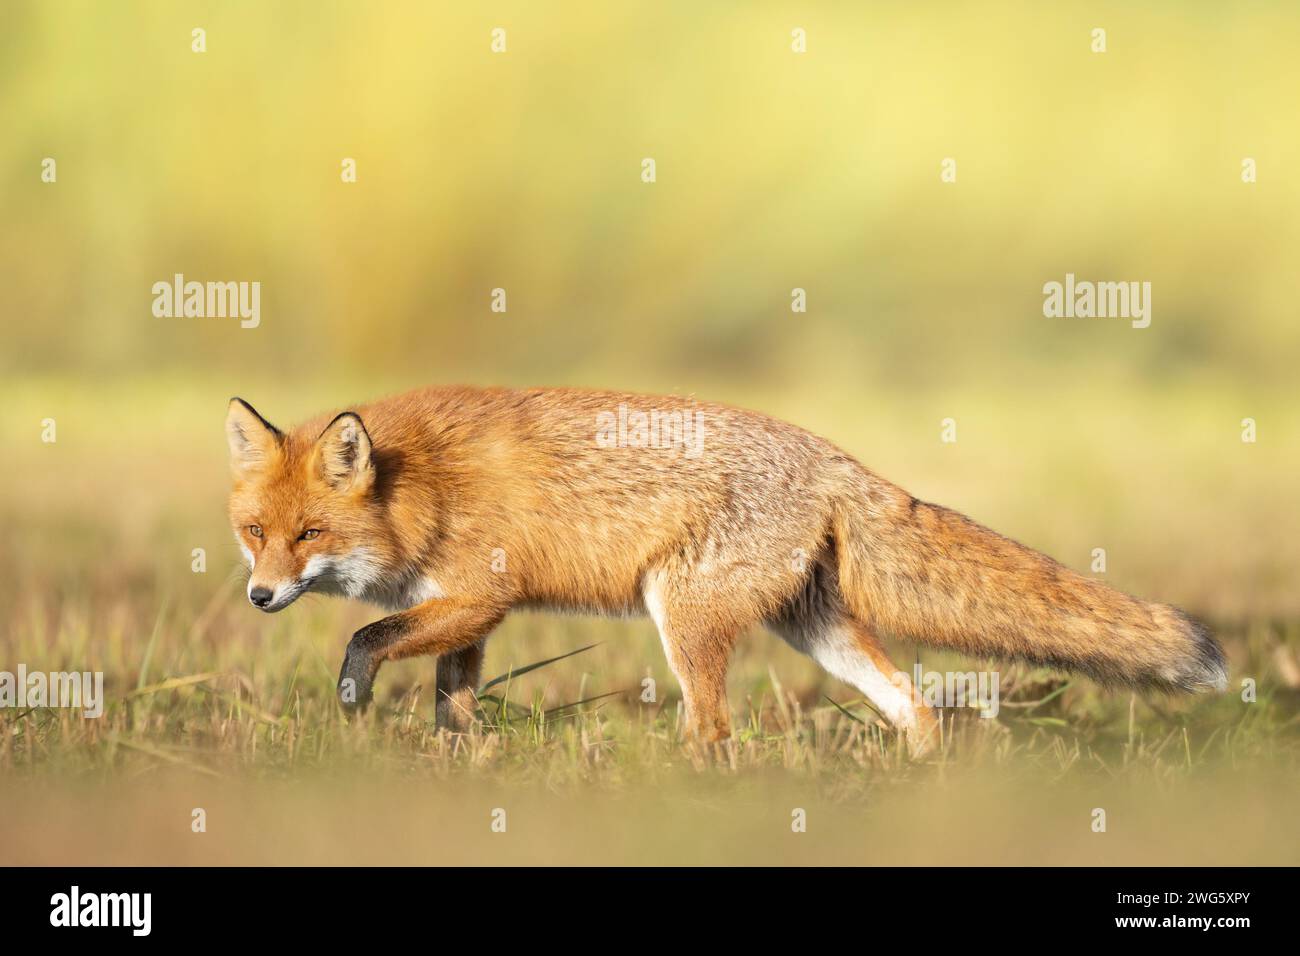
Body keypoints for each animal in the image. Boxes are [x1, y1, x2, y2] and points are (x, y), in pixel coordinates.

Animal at [226, 387, 1227, 754]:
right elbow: (453, 702)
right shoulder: (469, 613)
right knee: (917, 707)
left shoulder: (479, 596)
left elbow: (368, 635)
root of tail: (832, 453)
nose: (260, 597)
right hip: (815, 630)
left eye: (309, 533)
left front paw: (355, 692)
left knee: (712, 730)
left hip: (687, 618)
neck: (419, 486)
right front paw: (455, 768)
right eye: (254, 532)